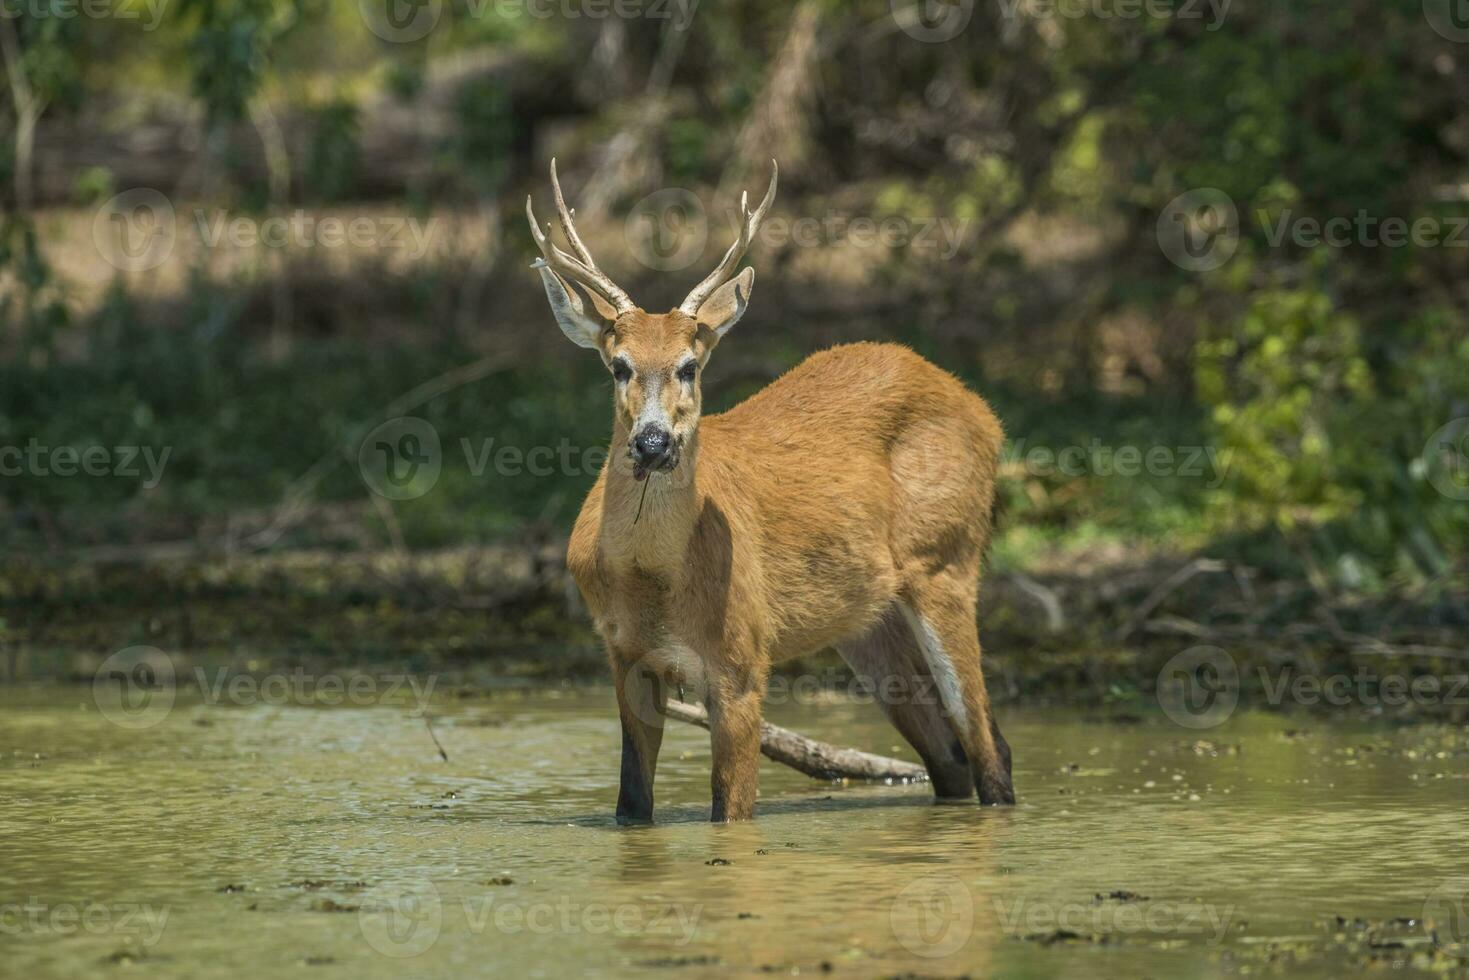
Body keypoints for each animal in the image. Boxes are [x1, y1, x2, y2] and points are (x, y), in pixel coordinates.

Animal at [528, 157, 1022, 822]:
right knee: (950, 756)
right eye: (619, 365)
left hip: (947, 560)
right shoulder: (623, 655)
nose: (653, 444)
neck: (652, 580)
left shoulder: (742, 657)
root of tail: (985, 415)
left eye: (690, 366)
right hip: (866, 619)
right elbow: (632, 804)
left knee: (989, 745)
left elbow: (729, 811)